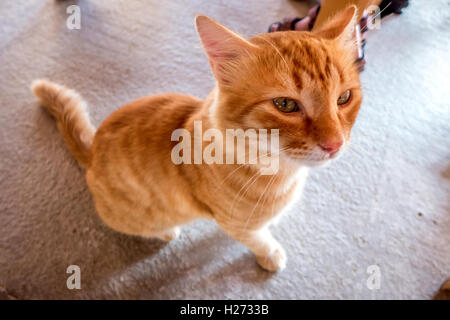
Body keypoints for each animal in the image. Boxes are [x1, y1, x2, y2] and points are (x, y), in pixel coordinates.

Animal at [30, 6, 362, 272]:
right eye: (285, 105)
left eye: (343, 98)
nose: (335, 144)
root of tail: (93, 150)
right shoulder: (234, 223)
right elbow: (259, 239)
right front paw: (271, 254)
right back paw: (167, 232)